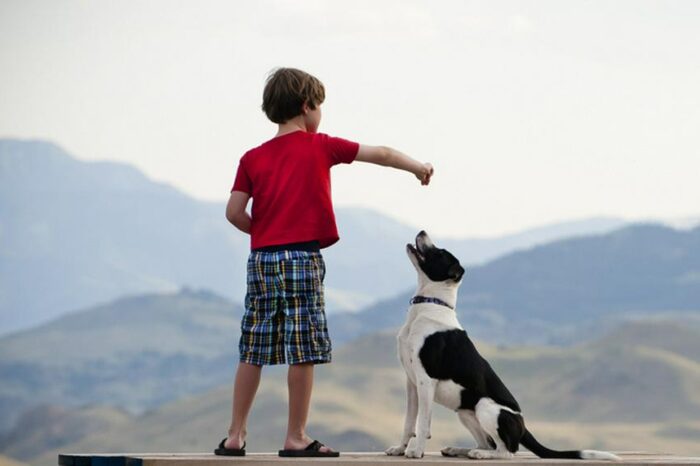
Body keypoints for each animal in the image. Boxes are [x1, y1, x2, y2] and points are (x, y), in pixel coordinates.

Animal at [386, 231, 620, 460]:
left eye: (440, 252)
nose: (422, 231)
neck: (429, 305)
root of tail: (523, 427)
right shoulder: (412, 382)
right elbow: (409, 422)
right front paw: (400, 448)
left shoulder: (426, 380)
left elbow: (422, 423)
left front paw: (416, 451)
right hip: (465, 412)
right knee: (487, 443)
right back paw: (461, 450)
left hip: (485, 407)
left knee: (506, 451)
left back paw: (480, 454)